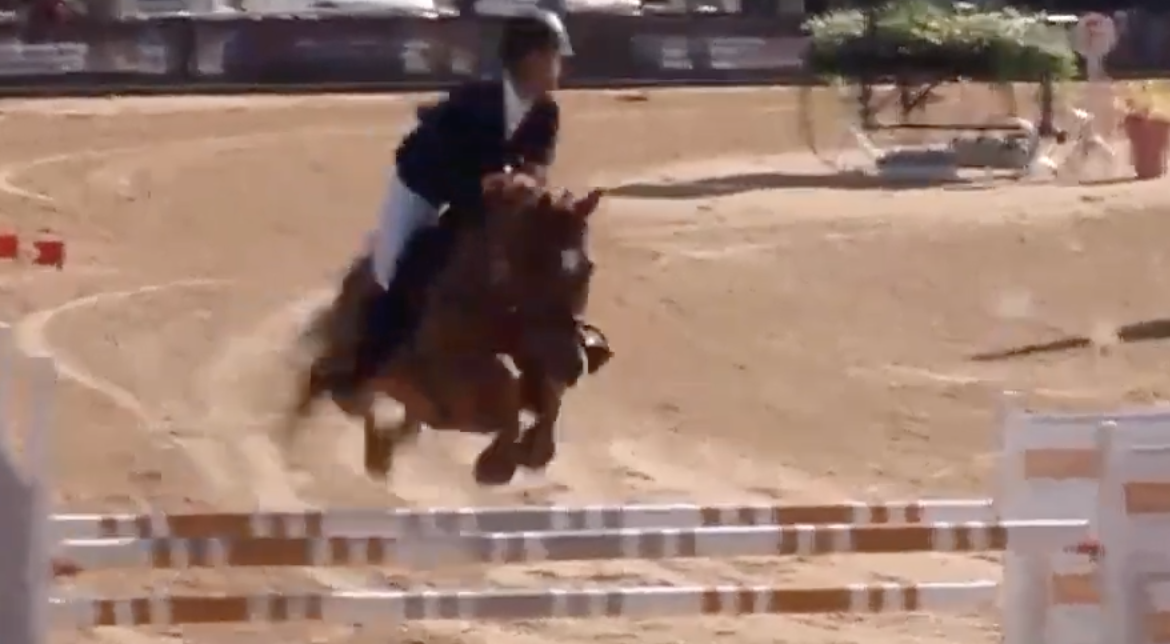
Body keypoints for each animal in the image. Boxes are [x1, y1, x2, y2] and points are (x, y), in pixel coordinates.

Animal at [284, 172, 602, 486]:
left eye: (588, 268)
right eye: (537, 263)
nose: (574, 367)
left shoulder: (539, 359)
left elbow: (547, 400)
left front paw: (532, 453)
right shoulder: (452, 382)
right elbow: (508, 394)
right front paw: (495, 467)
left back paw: (379, 455)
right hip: (351, 364)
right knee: (327, 384)